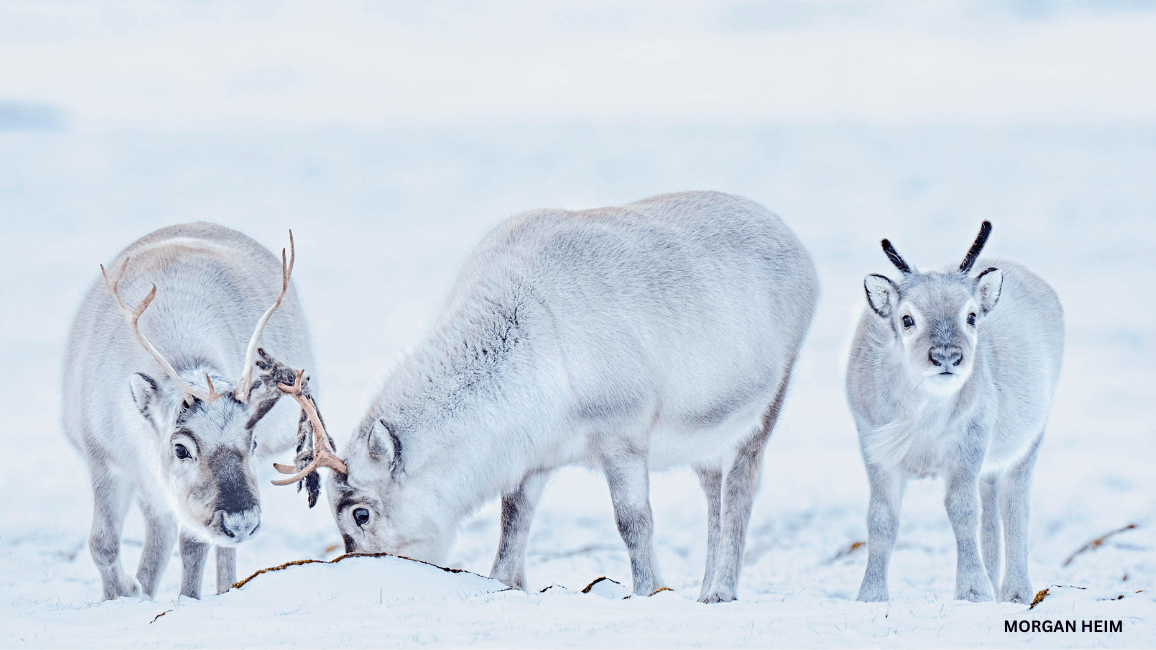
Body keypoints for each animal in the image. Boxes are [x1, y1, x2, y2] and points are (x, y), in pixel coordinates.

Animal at [62, 223, 318, 600]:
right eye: (181, 449)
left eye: (254, 442)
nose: (242, 522)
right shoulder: (104, 457)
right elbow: (102, 543)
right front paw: (122, 593)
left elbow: (195, 546)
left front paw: (186, 600)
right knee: (162, 530)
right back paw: (145, 585)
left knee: (209, 545)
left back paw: (225, 589)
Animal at [275, 191, 819, 602]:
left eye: (360, 514)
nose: (369, 574)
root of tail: (801, 250)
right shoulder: (535, 456)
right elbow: (513, 523)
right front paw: (502, 582)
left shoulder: (621, 433)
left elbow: (633, 521)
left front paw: (650, 591)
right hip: (705, 439)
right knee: (714, 493)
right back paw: (707, 589)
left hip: (770, 402)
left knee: (742, 490)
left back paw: (721, 590)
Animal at [848, 222, 1064, 603]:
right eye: (907, 319)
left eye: (971, 315)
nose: (946, 356)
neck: (923, 422)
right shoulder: (873, 443)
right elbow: (880, 518)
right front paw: (870, 594)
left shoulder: (972, 436)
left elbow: (962, 510)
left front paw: (973, 590)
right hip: (991, 462)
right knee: (990, 505)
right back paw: (995, 581)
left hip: (1030, 440)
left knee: (1015, 508)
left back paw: (1016, 592)